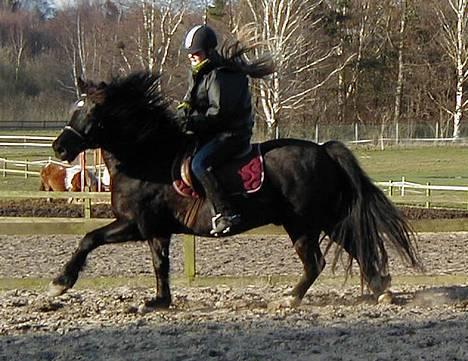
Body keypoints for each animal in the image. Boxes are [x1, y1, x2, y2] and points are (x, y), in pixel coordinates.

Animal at [50, 71, 420, 310]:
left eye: (92, 110)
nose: (60, 147)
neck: (147, 157)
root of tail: (324, 150)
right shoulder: (156, 230)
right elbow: (159, 265)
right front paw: (159, 301)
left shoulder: (135, 225)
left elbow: (89, 239)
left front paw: (60, 282)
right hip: (323, 220)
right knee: (349, 251)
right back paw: (379, 290)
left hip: (307, 222)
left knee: (319, 260)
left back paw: (292, 298)